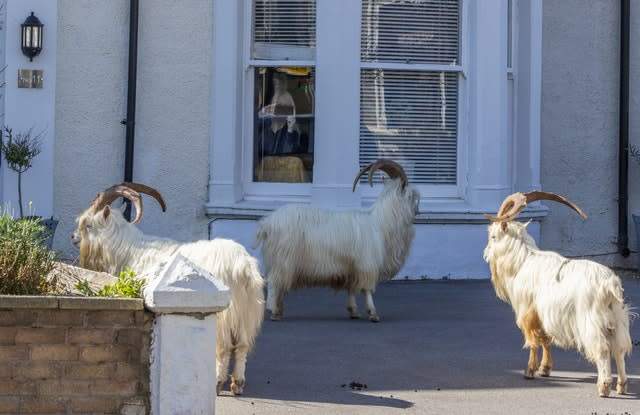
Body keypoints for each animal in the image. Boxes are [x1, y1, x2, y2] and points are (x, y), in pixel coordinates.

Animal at [72, 183, 264, 396]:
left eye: (88, 225)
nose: (73, 238)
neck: (128, 249)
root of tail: (242, 266)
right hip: (247, 310)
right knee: (242, 345)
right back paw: (237, 383)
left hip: (226, 312)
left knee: (224, 346)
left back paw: (217, 382)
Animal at [252, 159, 422, 322]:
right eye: (412, 195)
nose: (418, 211)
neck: (380, 222)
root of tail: (268, 223)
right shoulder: (367, 264)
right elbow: (367, 289)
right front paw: (373, 314)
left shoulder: (352, 267)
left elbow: (352, 289)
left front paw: (354, 311)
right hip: (283, 260)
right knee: (274, 283)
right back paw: (273, 311)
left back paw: (279, 310)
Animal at [482, 192, 632, 400]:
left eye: (493, 236)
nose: (485, 254)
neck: (523, 261)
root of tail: (610, 285)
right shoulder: (543, 314)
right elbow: (546, 339)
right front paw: (545, 369)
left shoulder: (528, 312)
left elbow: (533, 341)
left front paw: (530, 371)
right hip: (617, 319)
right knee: (619, 349)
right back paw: (622, 385)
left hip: (591, 320)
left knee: (602, 350)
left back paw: (604, 387)